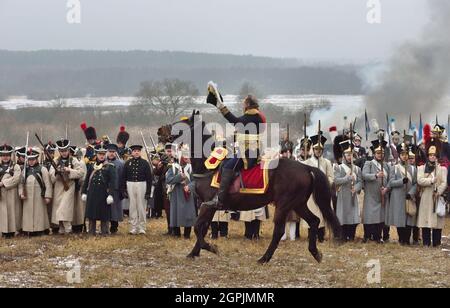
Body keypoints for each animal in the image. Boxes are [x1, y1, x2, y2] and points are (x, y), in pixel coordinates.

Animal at [162, 112, 342, 264]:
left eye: (182, 123)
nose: (162, 132)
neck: (208, 165)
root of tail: (306, 168)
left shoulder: (208, 204)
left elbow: (197, 227)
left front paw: (211, 248)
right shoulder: (209, 207)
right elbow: (203, 228)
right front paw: (194, 252)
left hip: (284, 205)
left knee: (279, 231)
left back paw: (264, 258)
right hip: (298, 204)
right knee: (314, 221)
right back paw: (315, 253)